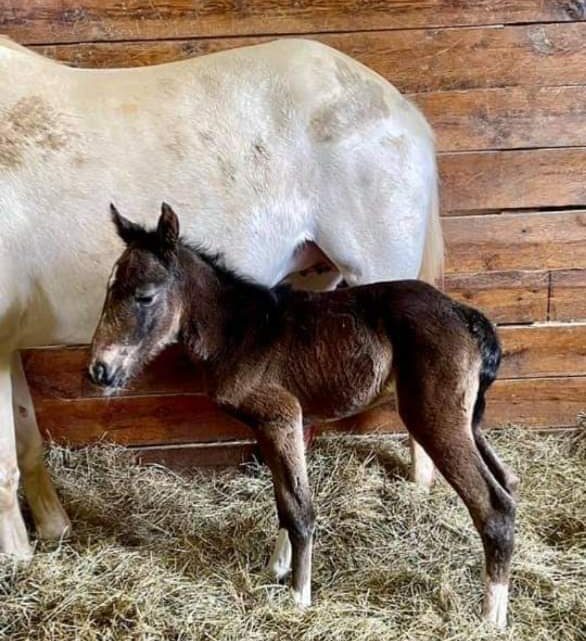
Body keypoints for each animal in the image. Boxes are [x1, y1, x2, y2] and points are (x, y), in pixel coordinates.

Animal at [88, 203, 516, 628]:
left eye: (145, 296)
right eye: (108, 288)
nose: (99, 370)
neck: (239, 332)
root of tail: (465, 315)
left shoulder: (281, 417)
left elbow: (300, 508)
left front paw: (299, 597)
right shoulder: (267, 426)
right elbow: (282, 500)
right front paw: (276, 569)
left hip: (434, 418)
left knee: (494, 506)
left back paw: (490, 618)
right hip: (467, 419)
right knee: (508, 480)